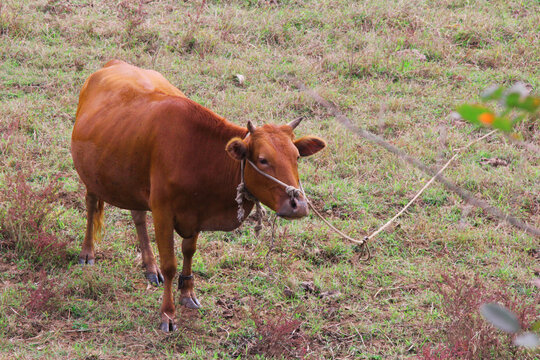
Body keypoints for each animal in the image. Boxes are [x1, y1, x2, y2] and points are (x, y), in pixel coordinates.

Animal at [71, 59, 324, 332]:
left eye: (296, 157)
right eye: (263, 159)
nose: (298, 205)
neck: (200, 155)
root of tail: (114, 63)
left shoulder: (196, 213)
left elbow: (189, 251)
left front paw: (187, 293)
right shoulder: (163, 212)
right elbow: (170, 264)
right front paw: (168, 314)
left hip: (130, 180)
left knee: (137, 216)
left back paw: (149, 266)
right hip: (91, 175)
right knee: (91, 205)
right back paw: (87, 253)